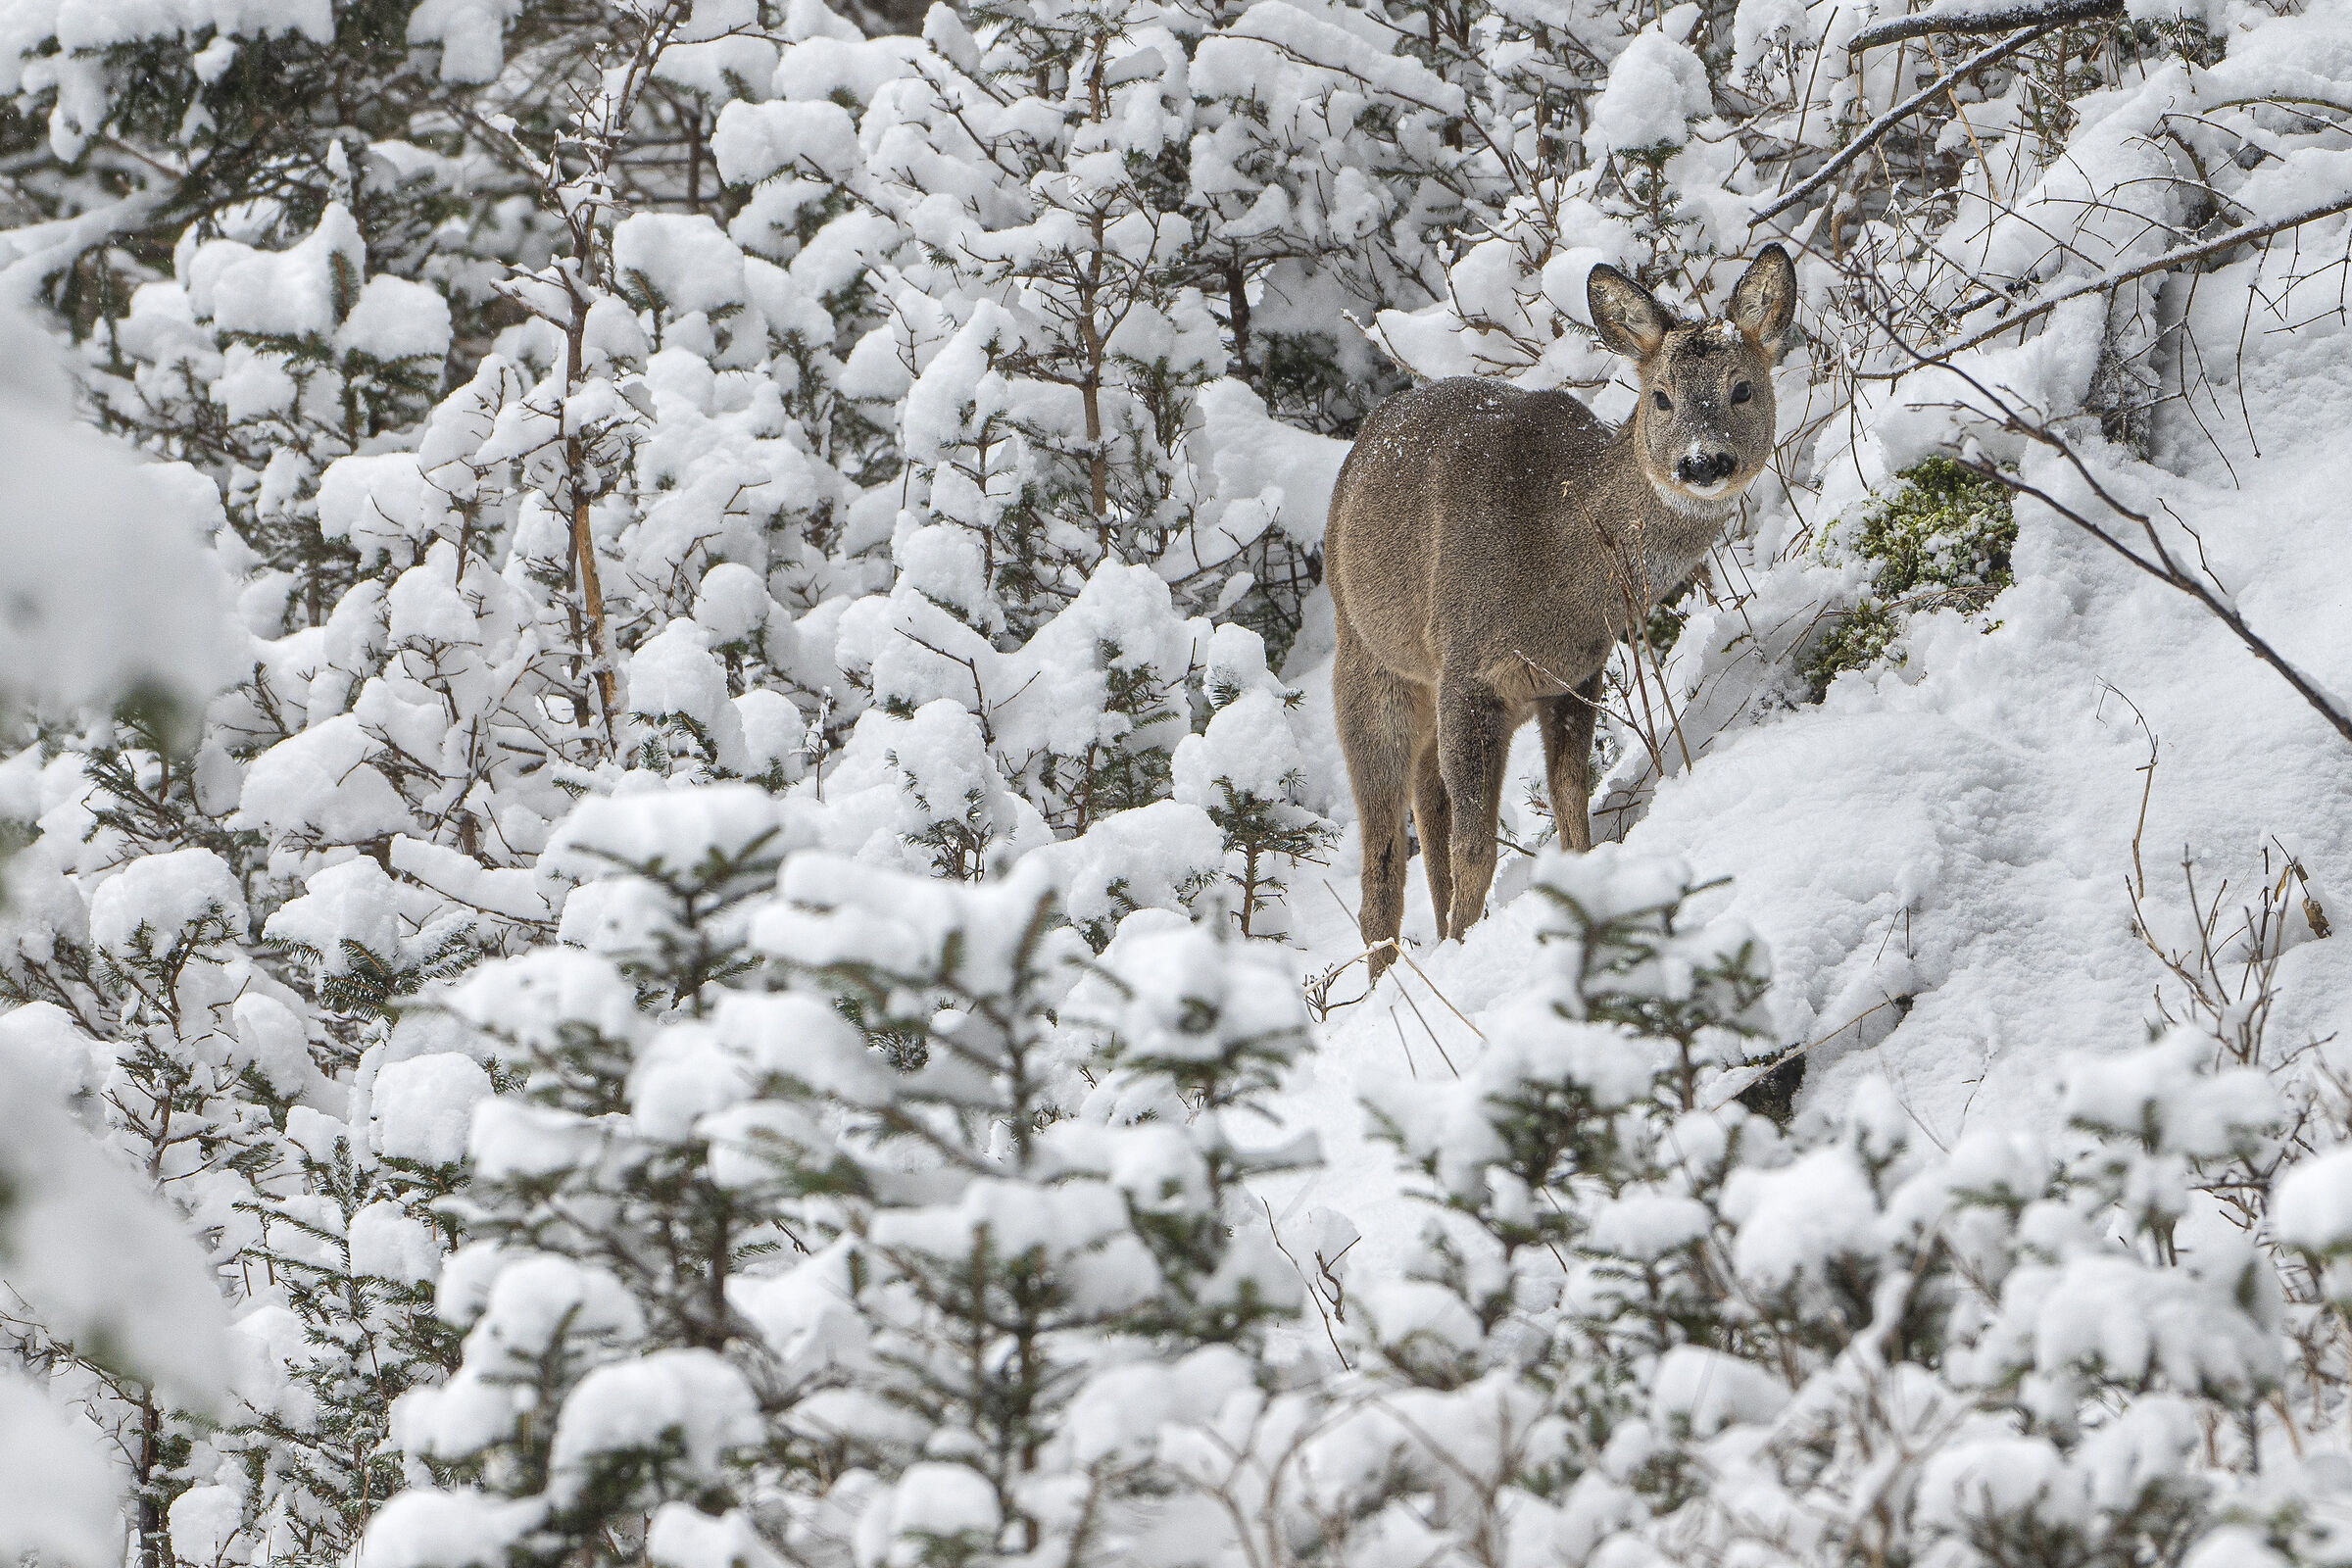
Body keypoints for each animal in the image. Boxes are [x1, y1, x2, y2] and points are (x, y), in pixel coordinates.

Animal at [1326, 245, 1796, 980]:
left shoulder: (1575, 675)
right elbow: (1478, 851)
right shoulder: (1470, 668)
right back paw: (1390, 981)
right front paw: (1470, 951)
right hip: (1372, 668)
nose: (1701, 462)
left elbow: (1571, 805)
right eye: (1661, 397)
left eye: (1742, 388)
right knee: (1382, 865)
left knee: (1429, 812)